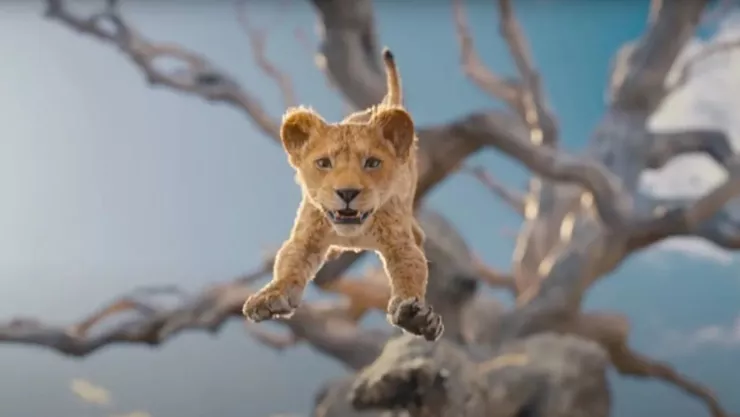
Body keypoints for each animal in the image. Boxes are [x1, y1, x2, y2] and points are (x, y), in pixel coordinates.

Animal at [242, 48, 443, 342]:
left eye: (372, 163)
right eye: (324, 163)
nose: (347, 192)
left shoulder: (400, 243)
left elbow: (411, 271)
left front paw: (415, 317)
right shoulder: (306, 237)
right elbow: (288, 265)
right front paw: (270, 297)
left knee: (417, 235)